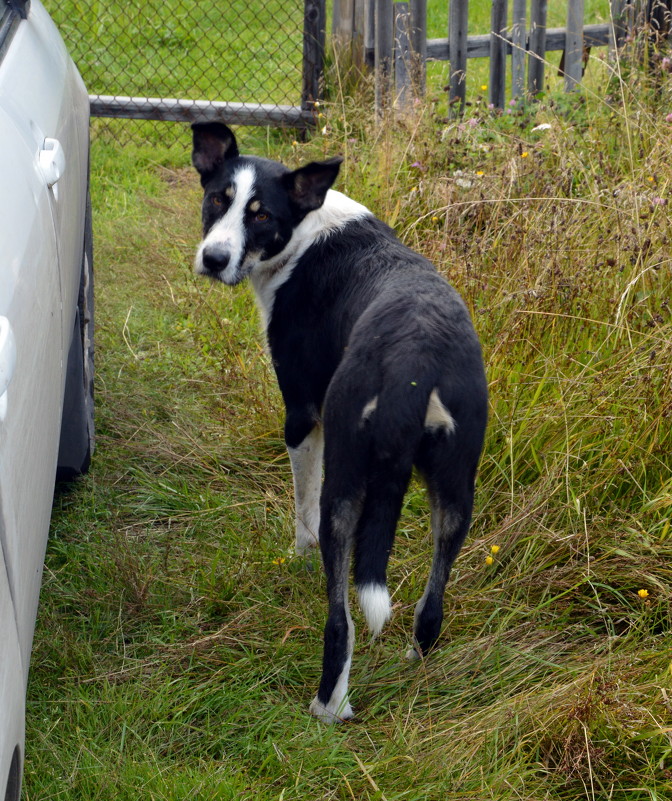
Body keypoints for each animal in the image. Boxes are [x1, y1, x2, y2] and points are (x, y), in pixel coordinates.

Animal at [189, 122, 488, 720]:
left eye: (261, 215)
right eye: (217, 200)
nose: (213, 258)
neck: (304, 233)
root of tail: (417, 360)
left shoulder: (303, 416)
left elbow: (301, 509)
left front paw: (296, 556)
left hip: (348, 488)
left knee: (341, 619)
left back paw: (328, 706)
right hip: (456, 494)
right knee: (431, 608)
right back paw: (414, 664)